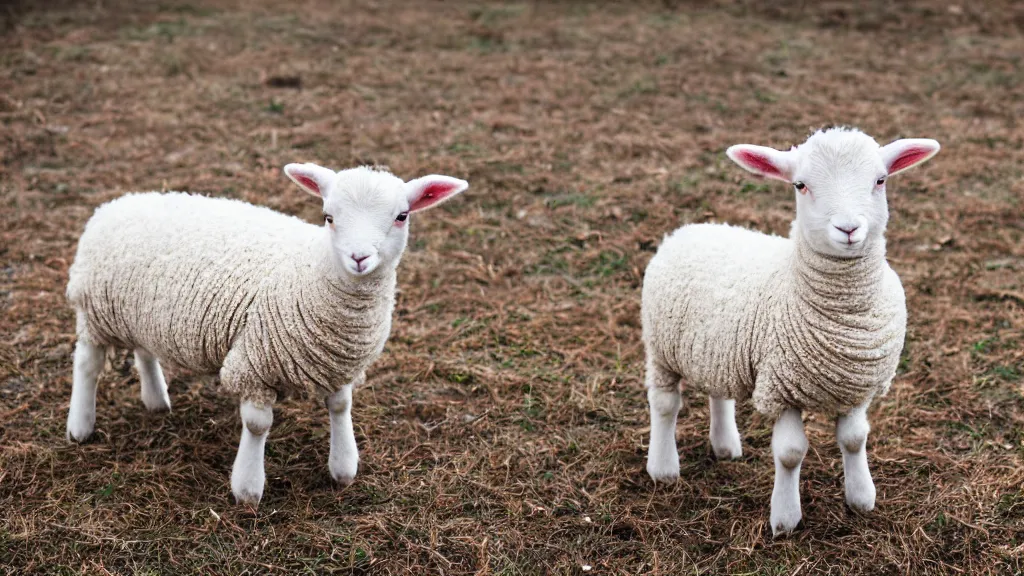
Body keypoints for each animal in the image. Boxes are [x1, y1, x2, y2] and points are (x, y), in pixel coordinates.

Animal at [62, 161, 464, 502]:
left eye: (402, 216)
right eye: (329, 217)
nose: (359, 258)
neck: (311, 272)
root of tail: (118, 202)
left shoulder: (336, 363)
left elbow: (340, 406)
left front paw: (343, 468)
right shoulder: (254, 361)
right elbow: (257, 425)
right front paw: (248, 490)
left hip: (141, 312)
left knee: (144, 349)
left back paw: (156, 401)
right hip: (96, 311)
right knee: (87, 364)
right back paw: (80, 427)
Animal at [643, 126, 937, 532]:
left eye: (880, 180)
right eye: (800, 185)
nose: (848, 228)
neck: (845, 319)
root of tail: (692, 228)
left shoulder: (858, 383)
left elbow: (854, 439)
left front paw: (861, 499)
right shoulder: (781, 386)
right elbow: (790, 453)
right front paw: (785, 519)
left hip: (718, 347)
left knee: (719, 392)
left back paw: (725, 446)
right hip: (661, 349)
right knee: (665, 403)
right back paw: (664, 468)